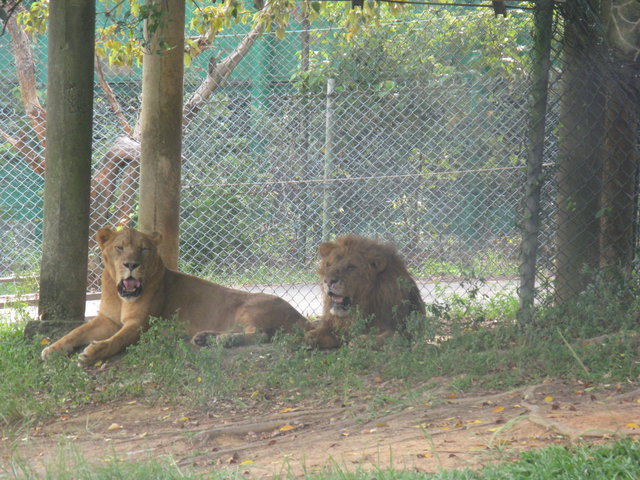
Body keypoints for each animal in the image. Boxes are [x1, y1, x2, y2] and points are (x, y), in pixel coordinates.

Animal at [42, 227, 308, 366]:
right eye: (119, 247)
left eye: (144, 249)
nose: (131, 264)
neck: (119, 295)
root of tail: (300, 316)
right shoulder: (106, 319)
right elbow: (76, 332)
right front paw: (52, 349)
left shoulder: (140, 324)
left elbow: (115, 340)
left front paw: (92, 352)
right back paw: (205, 338)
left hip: (249, 306)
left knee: (261, 334)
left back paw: (220, 341)